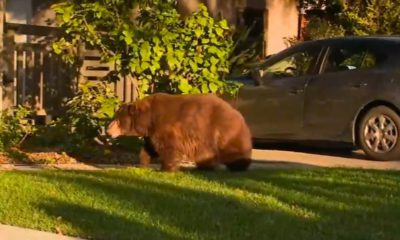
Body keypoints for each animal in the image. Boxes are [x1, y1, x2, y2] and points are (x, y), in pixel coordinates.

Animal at [108, 93, 252, 172]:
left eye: (117, 119)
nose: (108, 130)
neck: (148, 118)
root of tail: (237, 112)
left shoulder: (166, 126)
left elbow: (168, 146)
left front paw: (166, 168)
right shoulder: (151, 133)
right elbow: (150, 147)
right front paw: (143, 163)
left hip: (222, 128)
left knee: (233, 148)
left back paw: (239, 165)